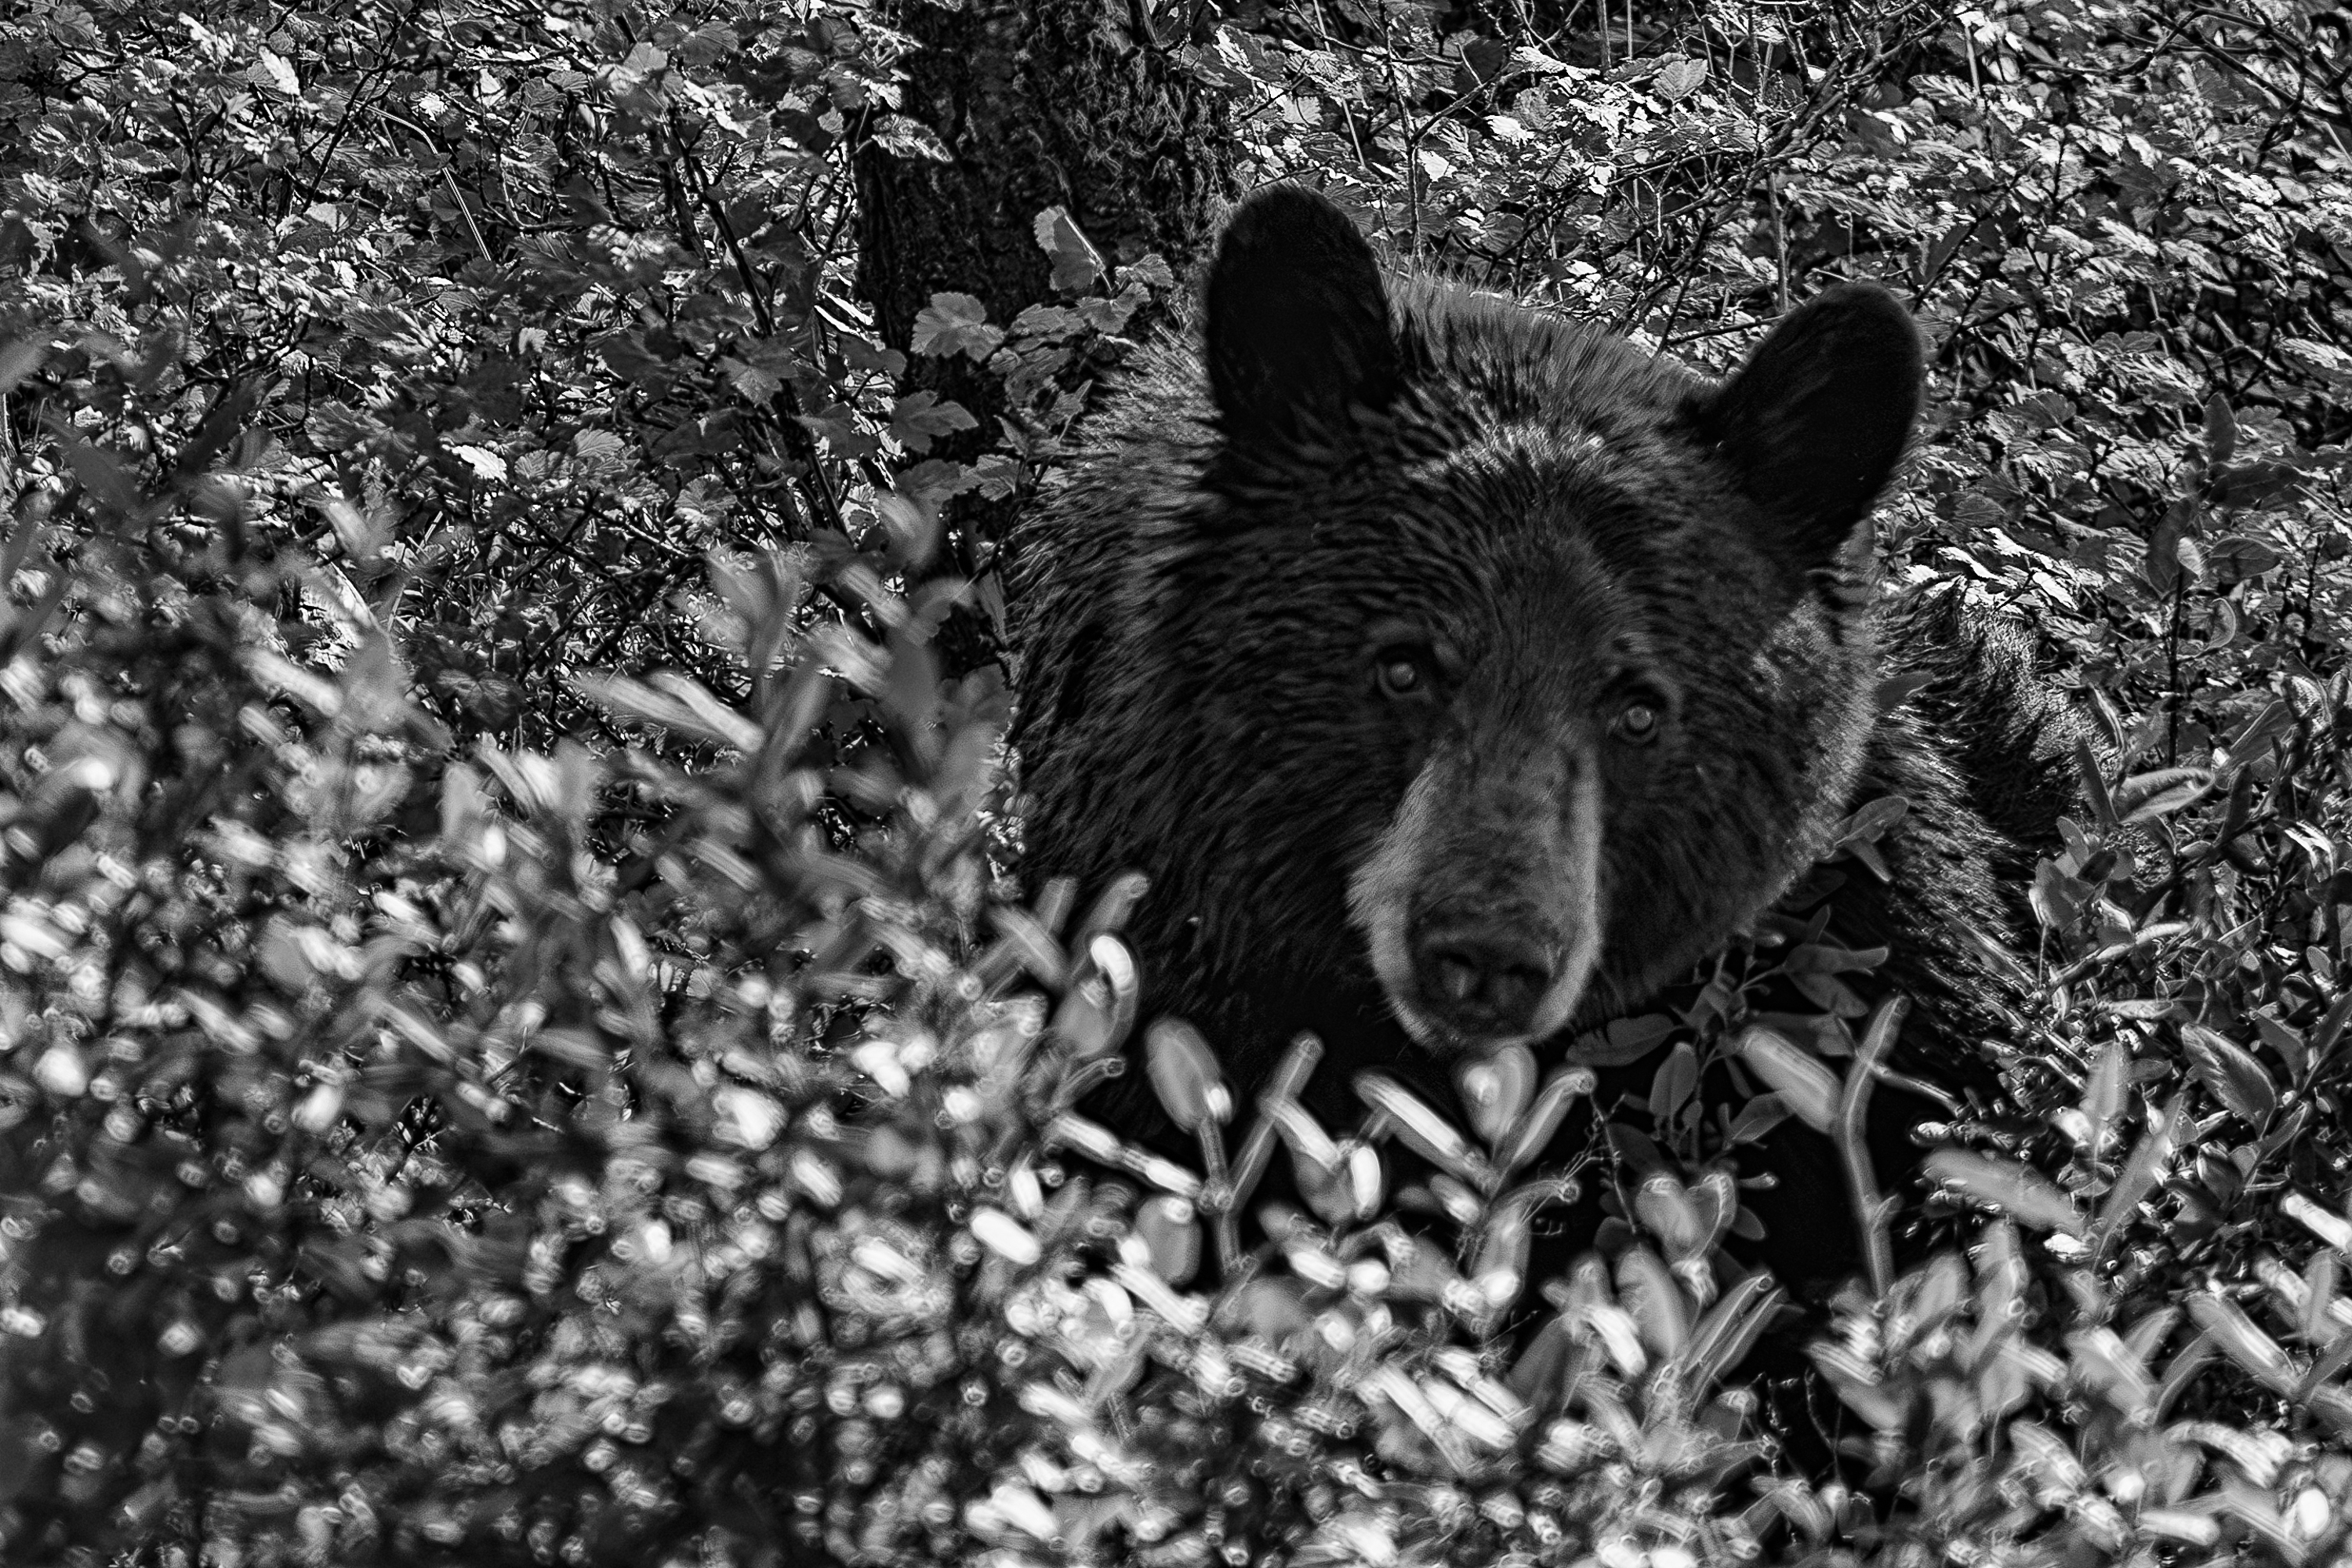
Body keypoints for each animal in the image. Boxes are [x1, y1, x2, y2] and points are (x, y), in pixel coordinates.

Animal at [1007, 185, 2088, 1335]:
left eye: (1639, 708)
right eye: (1404, 664)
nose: (1487, 953)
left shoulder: (1861, 947)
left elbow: (1944, 1152)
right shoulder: (1167, 973)